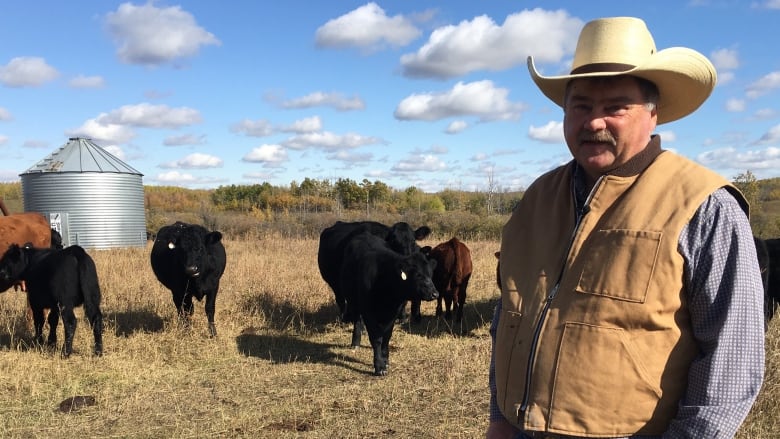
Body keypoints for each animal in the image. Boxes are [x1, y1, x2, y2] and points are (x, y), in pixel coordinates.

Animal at [342, 232, 438, 376]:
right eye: (418, 275)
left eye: (430, 274)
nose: (435, 294)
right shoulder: (368, 312)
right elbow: (376, 338)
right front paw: (379, 366)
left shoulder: (394, 312)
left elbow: (386, 337)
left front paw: (385, 360)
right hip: (354, 302)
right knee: (357, 321)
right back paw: (356, 342)